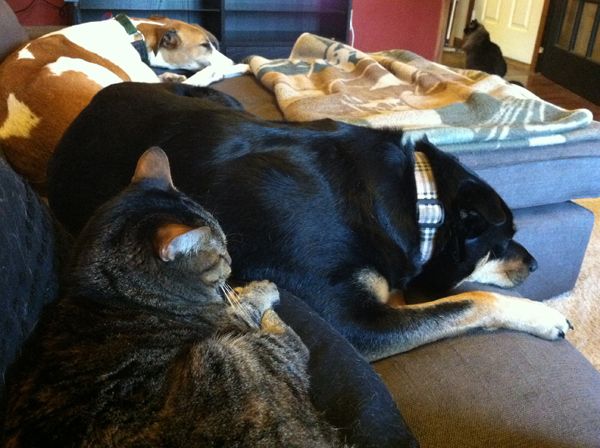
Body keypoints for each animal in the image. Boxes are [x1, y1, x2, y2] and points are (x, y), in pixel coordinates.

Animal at [1, 148, 342, 448]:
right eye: (221, 253)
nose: (232, 262)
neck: (109, 292)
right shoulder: (232, 318)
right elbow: (248, 307)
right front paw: (262, 289)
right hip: (229, 358)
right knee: (293, 344)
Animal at [49, 82, 568, 360]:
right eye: (503, 241)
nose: (535, 264)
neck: (419, 200)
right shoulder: (355, 322)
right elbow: (468, 301)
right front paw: (543, 315)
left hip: (219, 100)